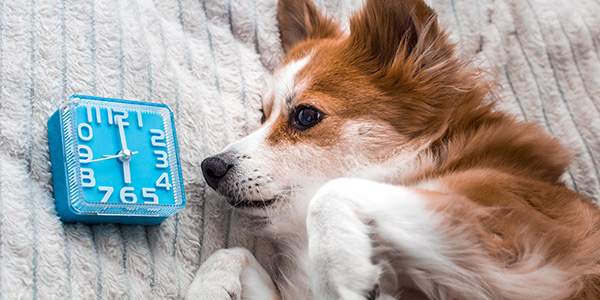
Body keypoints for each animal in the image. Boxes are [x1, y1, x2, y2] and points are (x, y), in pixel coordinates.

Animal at [186, 0, 600, 298]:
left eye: (305, 116)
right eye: (262, 114)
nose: (211, 166)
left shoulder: (513, 230)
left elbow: (331, 192)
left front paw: (341, 272)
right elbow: (232, 252)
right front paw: (208, 288)